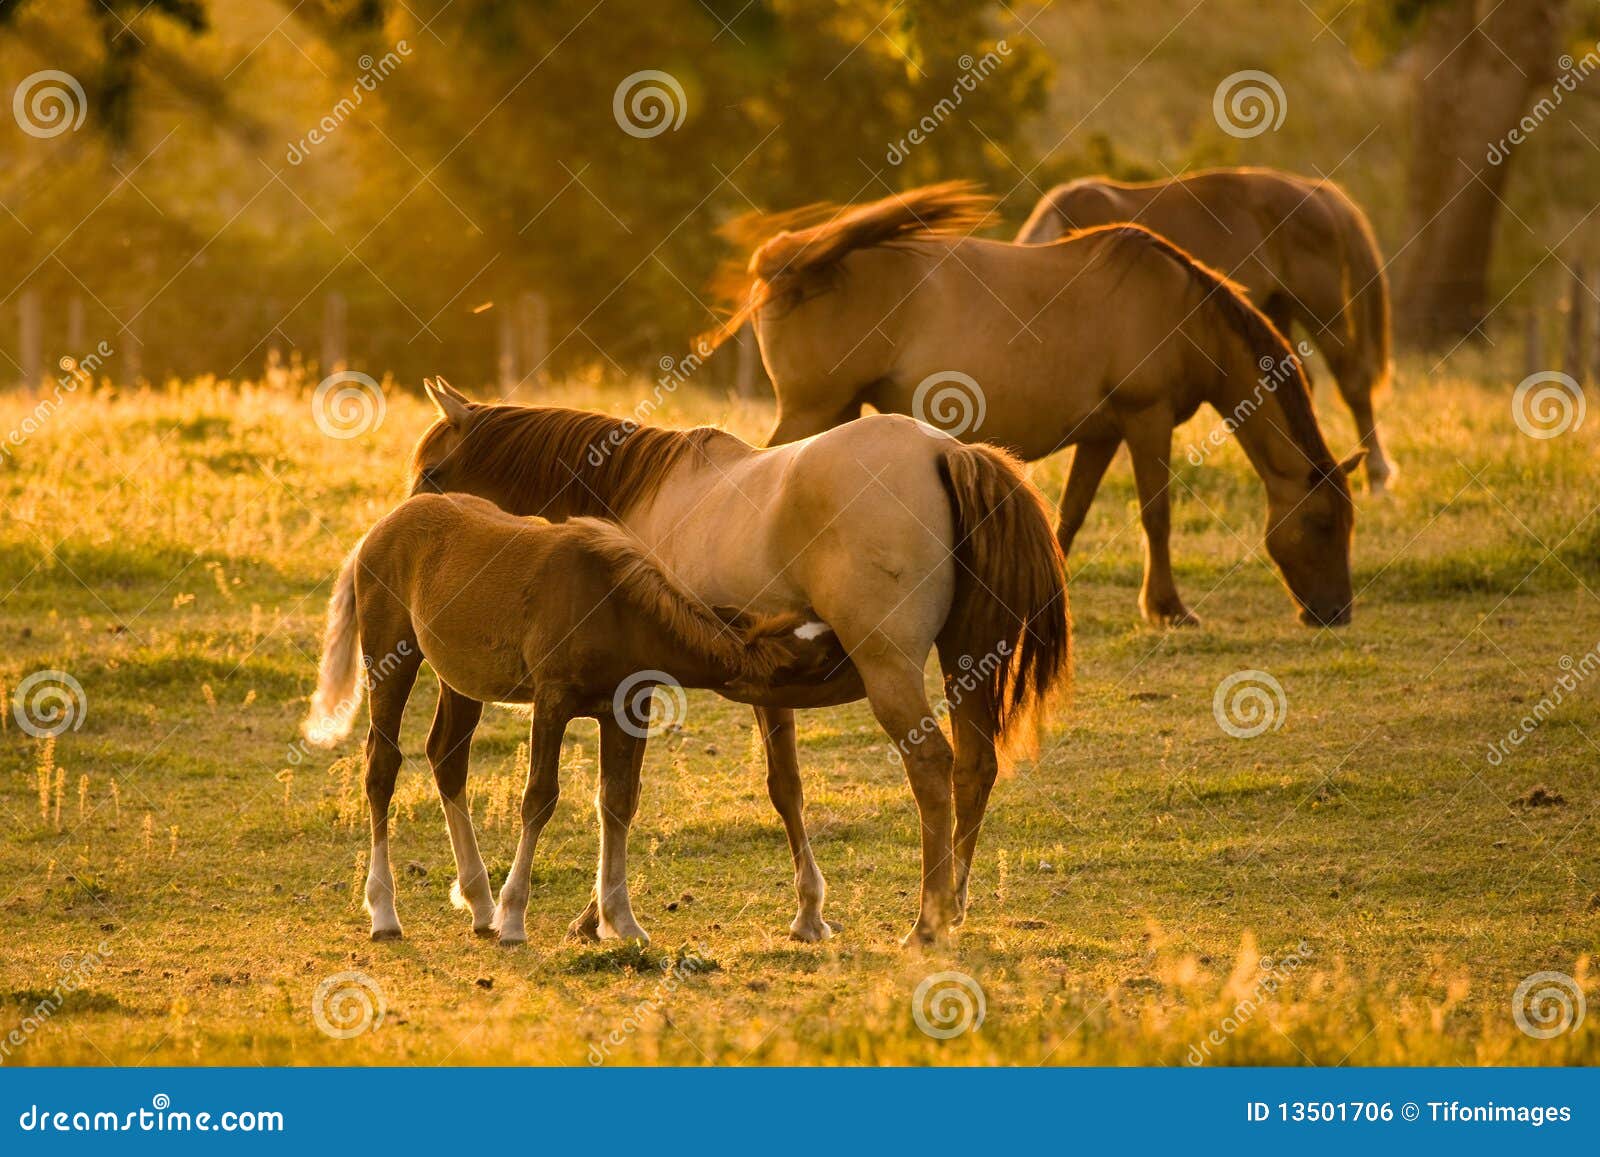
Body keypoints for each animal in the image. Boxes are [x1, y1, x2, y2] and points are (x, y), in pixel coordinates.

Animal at [301, 491, 848, 946]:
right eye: (826, 657)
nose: (861, 658)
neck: (616, 608)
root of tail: (380, 527)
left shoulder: (627, 710)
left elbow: (618, 802)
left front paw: (621, 921)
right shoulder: (553, 701)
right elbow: (539, 798)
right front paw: (515, 920)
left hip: (461, 679)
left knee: (447, 758)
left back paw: (479, 905)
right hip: (390, 658)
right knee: (382, 766)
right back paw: (386, 914)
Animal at [406, 379, 1071, 945]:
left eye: (433, 471)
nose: (405, 527)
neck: (639, 493)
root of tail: (944, 453)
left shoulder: (637, 689)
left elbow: (619, 795)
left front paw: (598, 917)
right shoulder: (770, 688)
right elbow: (786, 789)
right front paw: (809, 914)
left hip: (894, 673)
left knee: (932, 767)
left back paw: (928, 924)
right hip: (967, 663)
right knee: (975, 769)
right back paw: (953, 906)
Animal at [713, 181, 1365, 629]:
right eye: (1324, 523)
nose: (1335, 614)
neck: (1185, 312)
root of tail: (790, 257)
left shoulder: (1102, 436)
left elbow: (1069, 517)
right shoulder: (1146, 421)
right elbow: (1156, 514)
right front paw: (1169, 608)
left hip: (837, 415)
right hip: (812, 411)